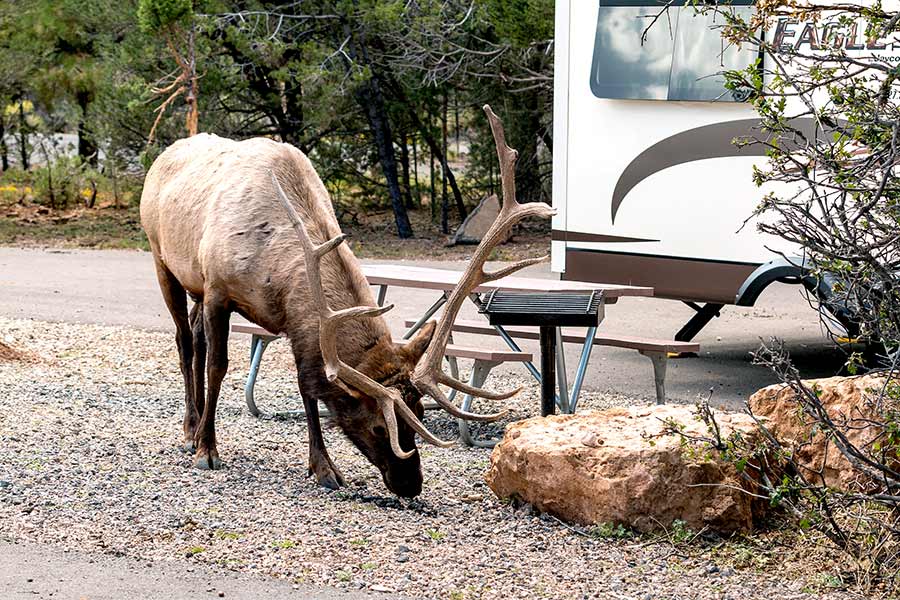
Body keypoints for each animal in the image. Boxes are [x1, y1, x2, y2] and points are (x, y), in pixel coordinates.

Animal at [141, 104, 556, 496]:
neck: (274, 269)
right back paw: (191, 429)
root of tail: (161, 157)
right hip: (163, 261)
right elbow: (218, 367)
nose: (411, 483)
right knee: (185, 341)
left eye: (420, 414)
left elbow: (307, 387)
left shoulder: (298, 324)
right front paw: (207, 449)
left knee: (195, 333)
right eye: (378, 428)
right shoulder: (217, 290)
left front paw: (324, 468)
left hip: (192, 283)